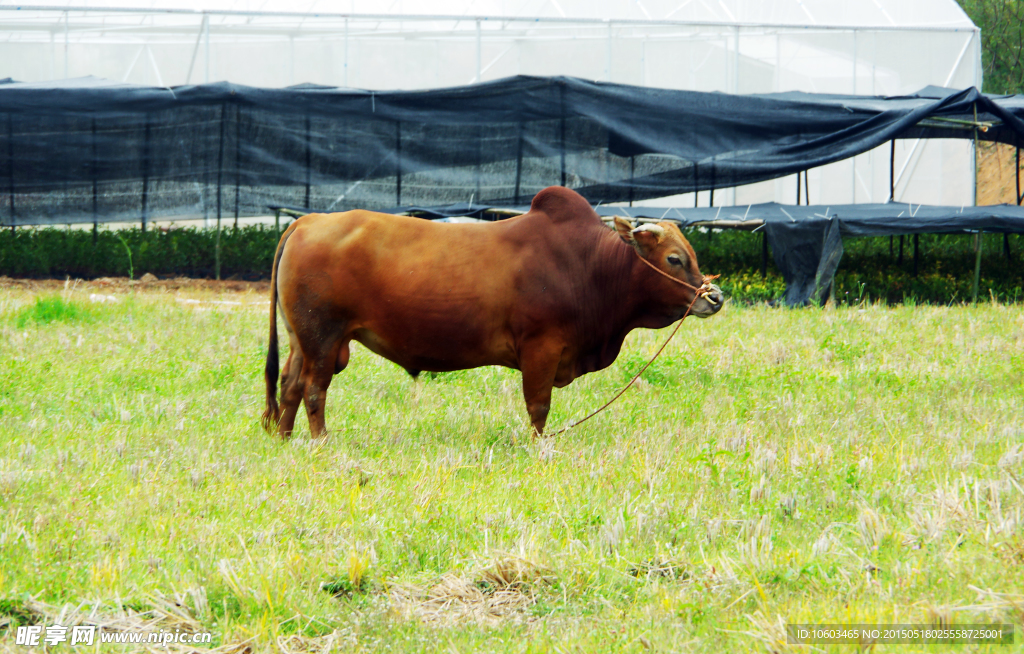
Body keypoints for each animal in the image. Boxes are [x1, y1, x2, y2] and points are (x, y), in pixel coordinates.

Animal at [264, 185, 729, 440]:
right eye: (673, 259)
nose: (715, 297)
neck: (587, 265)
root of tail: (307, 221)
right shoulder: (541, 349)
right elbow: (538, 407)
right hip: (323, 338)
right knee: (313, 390)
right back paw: (321, 442)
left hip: (302, 339)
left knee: (288, 385)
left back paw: (285, 439)